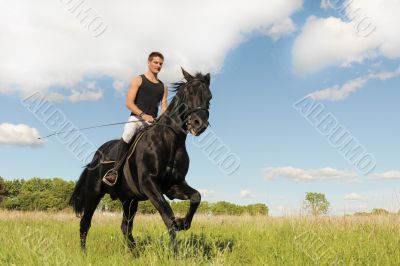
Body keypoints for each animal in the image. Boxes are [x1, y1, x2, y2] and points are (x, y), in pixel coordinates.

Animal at [69, 68, 212, 251]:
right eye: (188, 93)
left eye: (209, 97)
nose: (199, 124)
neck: (170, 141)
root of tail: (95, 158)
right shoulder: (149, 184)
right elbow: (168, 217)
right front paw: (175, 251)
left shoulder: (173, 186)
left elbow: (196, 197)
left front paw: (183, 223)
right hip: (94, 194)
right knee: (85, 223)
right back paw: (84, 253)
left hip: (129, 200)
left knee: (125, 227)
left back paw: (134, 252)